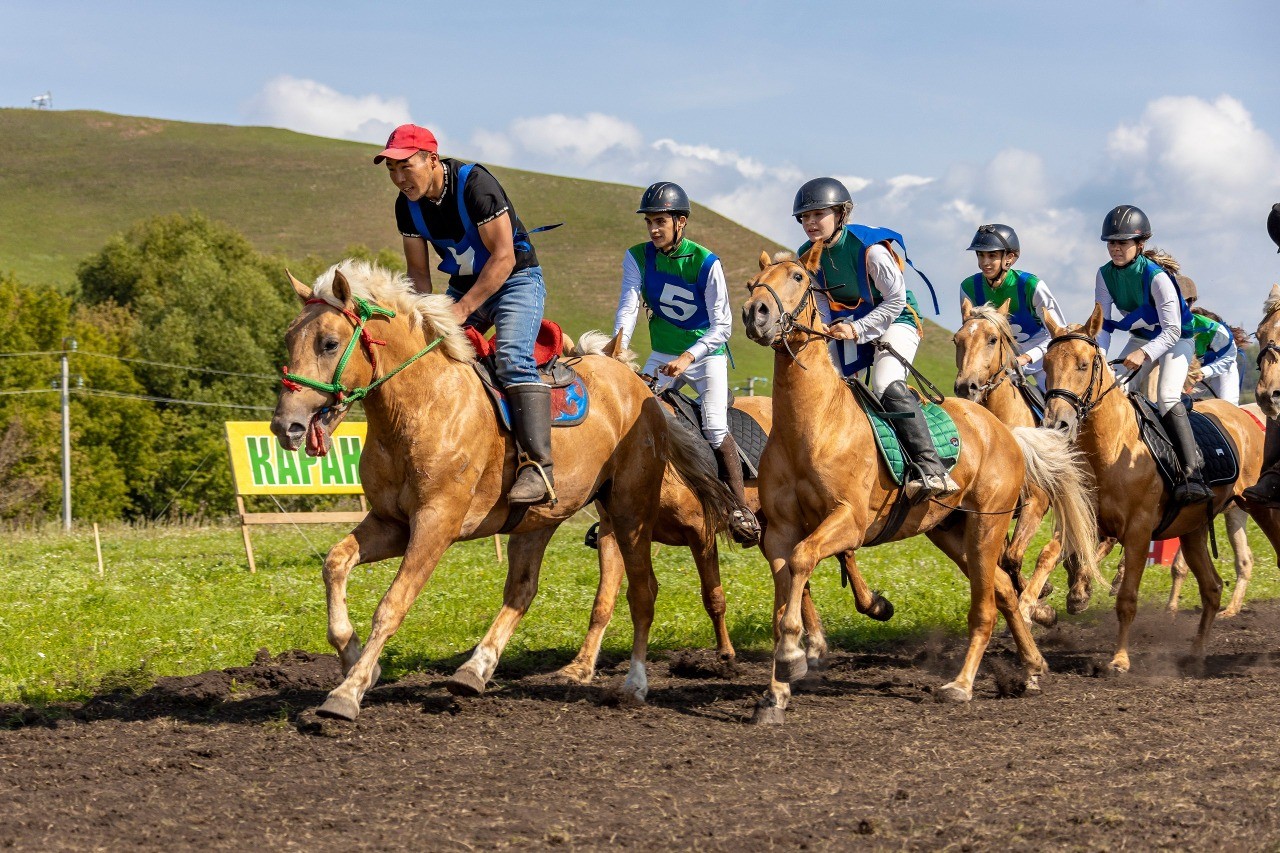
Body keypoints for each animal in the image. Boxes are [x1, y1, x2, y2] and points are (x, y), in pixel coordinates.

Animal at [267, 258, 732, 717]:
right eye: (290, 338)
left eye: (329, 343)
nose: (286, 426)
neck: (422, 405)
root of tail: (641, 388)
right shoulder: (391, 523)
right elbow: (335, 564)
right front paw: (353, 658)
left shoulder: (435, 524)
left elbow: (392, 605)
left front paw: (348, 692)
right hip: (539, 520)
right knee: (522, 591)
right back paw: (475, 668)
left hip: (630, 510)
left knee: (642, 591)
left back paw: (634, 684)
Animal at [737, 245, 1095, 717]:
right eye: (751, 283)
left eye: (797, 277)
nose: (754, 313)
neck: (812, 424)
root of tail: (1005, 432)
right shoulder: (779, 530)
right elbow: (786, 589)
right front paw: (777, 690)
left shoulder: (848, 522)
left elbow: (801, 561)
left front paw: (794, 655)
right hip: (949, 531)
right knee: (1001, 589)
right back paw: (1033, 666)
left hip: (987, 525)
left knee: (986, 606)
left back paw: (962, 684)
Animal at [1039, 306, 1280, 671]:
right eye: (1047, 365)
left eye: (1083, 364)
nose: (1057, 423)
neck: (1112, 447)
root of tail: (1242, 415)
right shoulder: (1084, 519)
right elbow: (1053, 555)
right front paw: (1042, 606)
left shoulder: (1138, 531)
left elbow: (1126, 597)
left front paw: (1120, 659)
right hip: (1193, 529)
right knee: (1212, 587)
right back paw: (1196, 653)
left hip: (1260, 506)